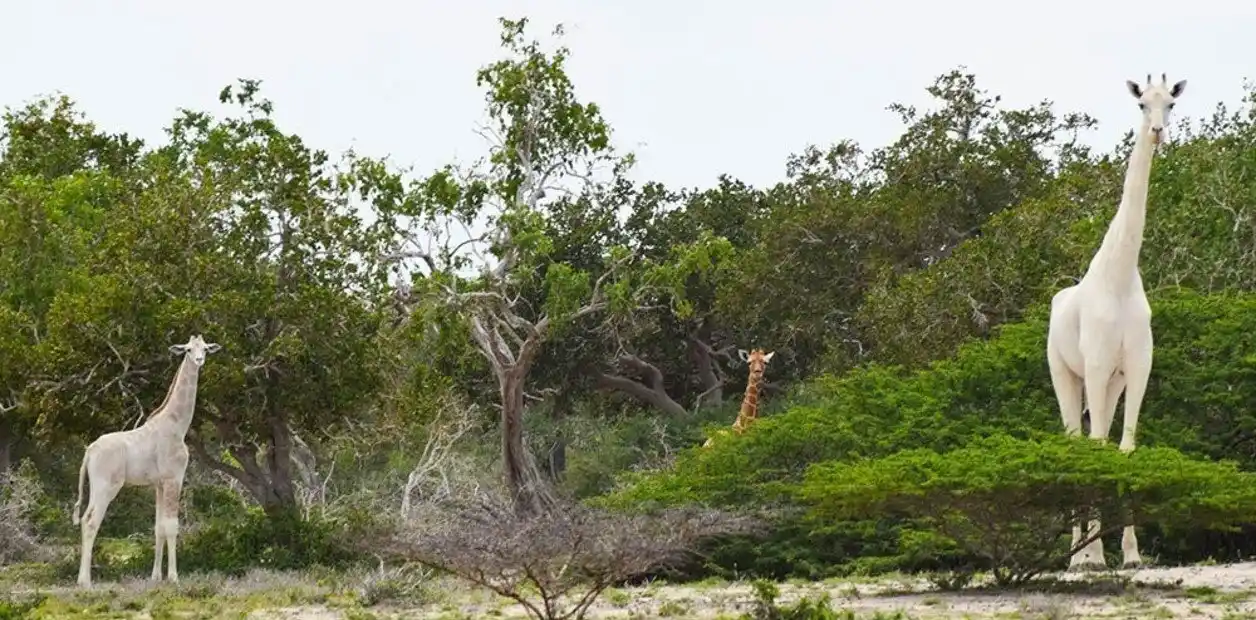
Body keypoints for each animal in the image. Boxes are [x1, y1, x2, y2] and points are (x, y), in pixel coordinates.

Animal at [72, 335, 222, 587]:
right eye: (188, 350)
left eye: (205, 348)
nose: (199, 360)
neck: (178, 426)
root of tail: (89, 452)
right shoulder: (174, 478)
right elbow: (172, 526)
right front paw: (173, 578)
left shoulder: (158, 484)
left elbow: (158, 528)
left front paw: (155, 577)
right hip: (107, 486)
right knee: (91, 522)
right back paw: (85, 582)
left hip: (95, 486)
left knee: (83, 519)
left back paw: (83, 580)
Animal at [1046, 73, 1185, 571]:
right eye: (1142, 104)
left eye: (1171, 104)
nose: (1158, 133)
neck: (1121, 276)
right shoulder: (1098, 364)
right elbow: (1096, 447)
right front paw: (1089, 556)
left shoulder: (1137, 367)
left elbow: (1124, 448)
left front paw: (1131, 553)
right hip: (1067, 373)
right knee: (1077, 440)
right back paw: (1077, 554)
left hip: (1109, 381)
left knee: (1096, 437)